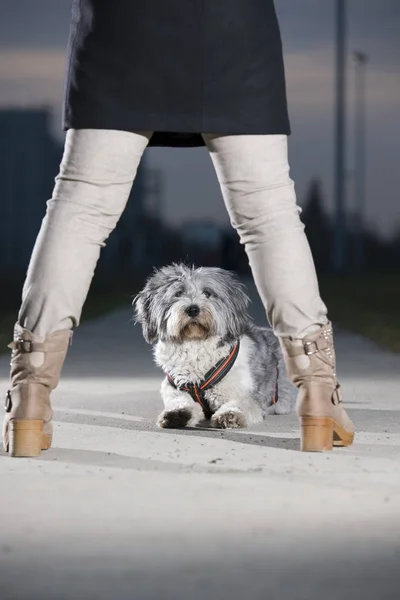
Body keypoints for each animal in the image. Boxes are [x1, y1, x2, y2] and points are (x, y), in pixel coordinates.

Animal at [135, 264, 296, 428]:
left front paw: (230, 414)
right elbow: (179, 401)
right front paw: (177, 414)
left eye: (207, 293)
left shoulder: (245, 392)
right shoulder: (173, 388)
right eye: (178, 293)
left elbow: (241, 403)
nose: (193, 309)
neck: (195, 344)